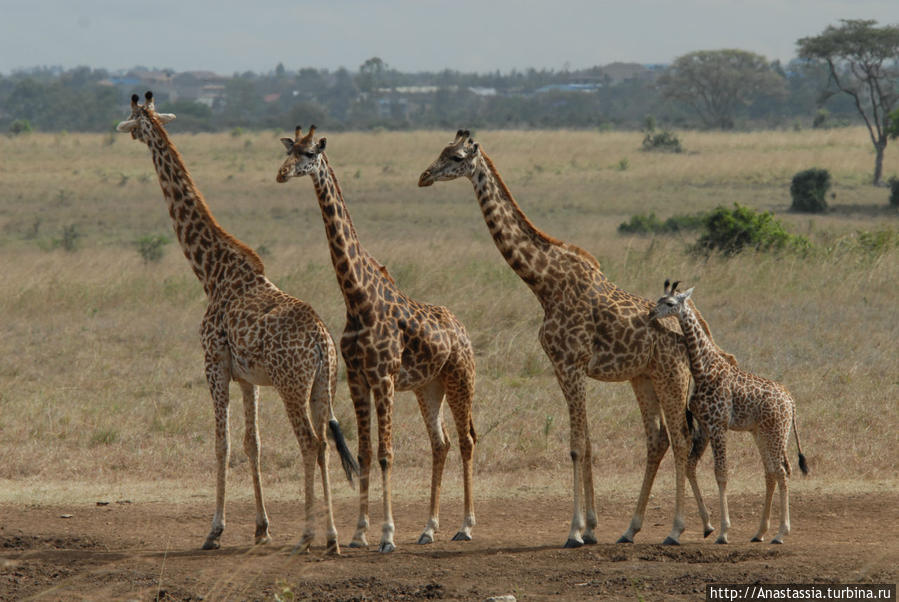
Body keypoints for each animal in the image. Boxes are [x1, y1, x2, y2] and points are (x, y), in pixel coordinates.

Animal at [116, 91, 358, 552]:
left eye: (134, 117)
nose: (123, 129)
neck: (211, 273)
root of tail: (323, 341)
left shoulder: (214, 363)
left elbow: (221, 444)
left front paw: (215, 530)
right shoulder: (248, 378)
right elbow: (252, 444)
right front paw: (262, 528)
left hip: (292, 385)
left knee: (310, 442)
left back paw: (310, 535)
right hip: (324, 386)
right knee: (325, 443)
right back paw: (333, 536)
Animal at [276, 126, 478, 552]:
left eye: (309, 153)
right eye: (288, 150)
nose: (282, 174)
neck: (356, 297)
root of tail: (462, 329)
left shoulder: (383, 377)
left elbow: (386, 453)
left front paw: (387, 535)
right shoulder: (356, 378)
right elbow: (366, 453)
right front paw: (359, 533)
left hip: (460, 378)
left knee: (467, 440)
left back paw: (466, 526)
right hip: (428, 387)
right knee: (441, 443)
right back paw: (428, 528)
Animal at [418, 129, 736, 548]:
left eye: (455, 157)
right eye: (440, 151)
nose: (423, 176)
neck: (544, 284)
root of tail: (703, 333)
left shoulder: (571, 365)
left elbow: (575, 446)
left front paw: (575, 531)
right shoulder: (563, 368)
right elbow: (586, 443)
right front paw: (591, 526)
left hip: (672, 376)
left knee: (681, 439)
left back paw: (676, 528)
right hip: (644, 377)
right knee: (659, 440)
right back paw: (645, 527)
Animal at [648, 278, 808, 540]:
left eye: (669, 303)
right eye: (658, 299)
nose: (651, 313)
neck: (703, 369)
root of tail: (791, 401)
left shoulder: (718, 425)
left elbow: (721, 473)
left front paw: (723, 532)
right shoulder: (704, 426)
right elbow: (691, 467)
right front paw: (708, 525)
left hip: (776, 433)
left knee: (782, 471)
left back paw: (780, 533)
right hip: (763, 433)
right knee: (771, 472)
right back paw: (759, 532)